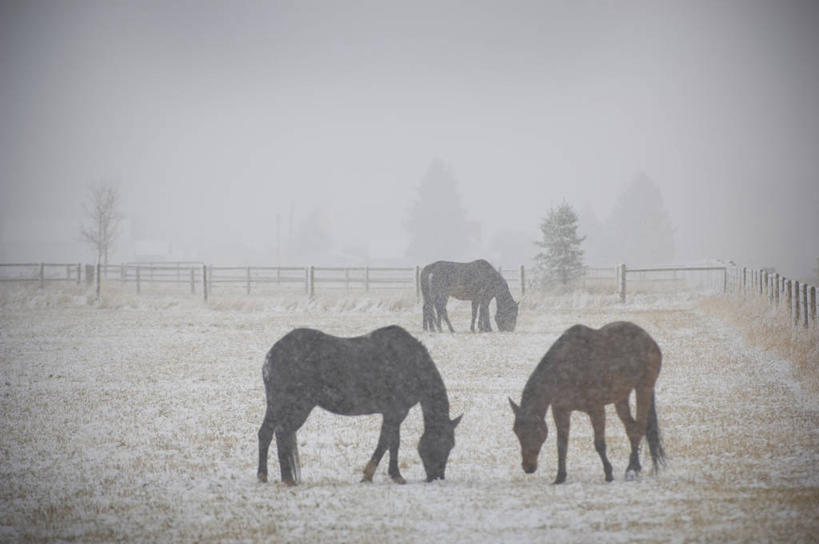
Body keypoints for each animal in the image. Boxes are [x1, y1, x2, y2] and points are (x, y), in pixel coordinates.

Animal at [258, 326, 462, 482]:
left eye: (451, 445)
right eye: (444, 444)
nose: (437, 477)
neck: (410, 363)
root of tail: (271, 355)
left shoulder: (394, 414)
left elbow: (392, 442)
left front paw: (392, 475)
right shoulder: (395, 412)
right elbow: (386, 443)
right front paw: (373, 475)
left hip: (278, 406)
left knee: (268, 433)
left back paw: (265, 476)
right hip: (297, 406)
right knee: (281, 433)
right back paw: (287, 479)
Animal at [510, 320, 668, 482]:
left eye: (535, 431)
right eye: (516, 431)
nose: (528, 467)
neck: (567, 369)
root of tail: (649, 339)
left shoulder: (596, 409)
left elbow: (599, 444)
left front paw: (608, 473)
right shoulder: (561, 411)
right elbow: (561, 444)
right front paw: (560, 477)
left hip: (643, 388)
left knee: (639, 427)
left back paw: (632, 469)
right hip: (621, 397)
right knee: (631, 428)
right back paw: (634, 467)